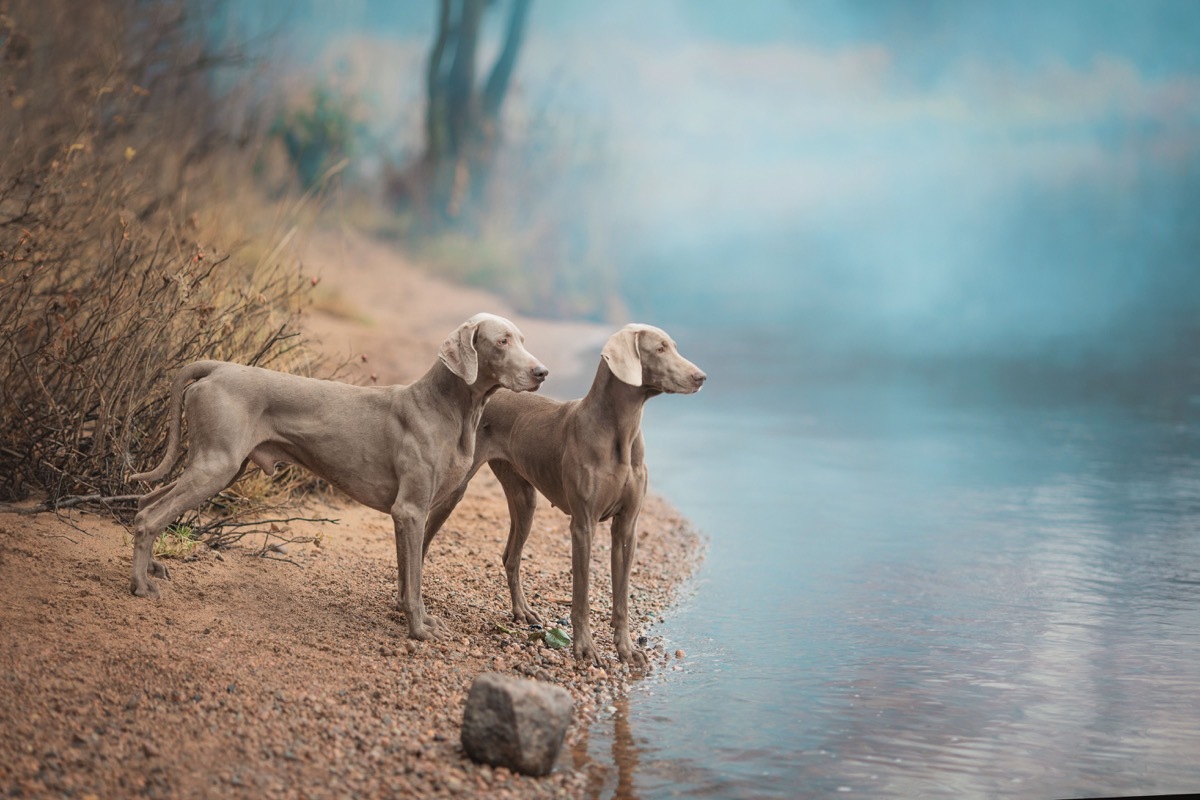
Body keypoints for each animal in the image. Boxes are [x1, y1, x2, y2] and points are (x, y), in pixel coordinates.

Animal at [127, 309, 549, 642]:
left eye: (523, 340)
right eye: (502, 341)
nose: (542, 372)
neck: (448, 407)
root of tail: (216, 366)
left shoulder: (410, 515)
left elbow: (408, 577)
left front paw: (420, 620)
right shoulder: (410, 510)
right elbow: (415, 583)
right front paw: (419, 630)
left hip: (222, 465)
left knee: (146, 501)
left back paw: (152, 567)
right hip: (218, 464)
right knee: (149, 515)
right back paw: (141, 585)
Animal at [422, 321, 700, 666]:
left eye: (673, 346)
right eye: (660, 349)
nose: (701, 377)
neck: (620, 433)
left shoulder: (627, 526)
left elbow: (621, 597)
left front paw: (626, 649)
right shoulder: (583, 525)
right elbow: (580, 596)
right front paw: (585, 649)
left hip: (525, 499)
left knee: (510, 556)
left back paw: (522, 612)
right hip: (454, 491)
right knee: (424, 538)